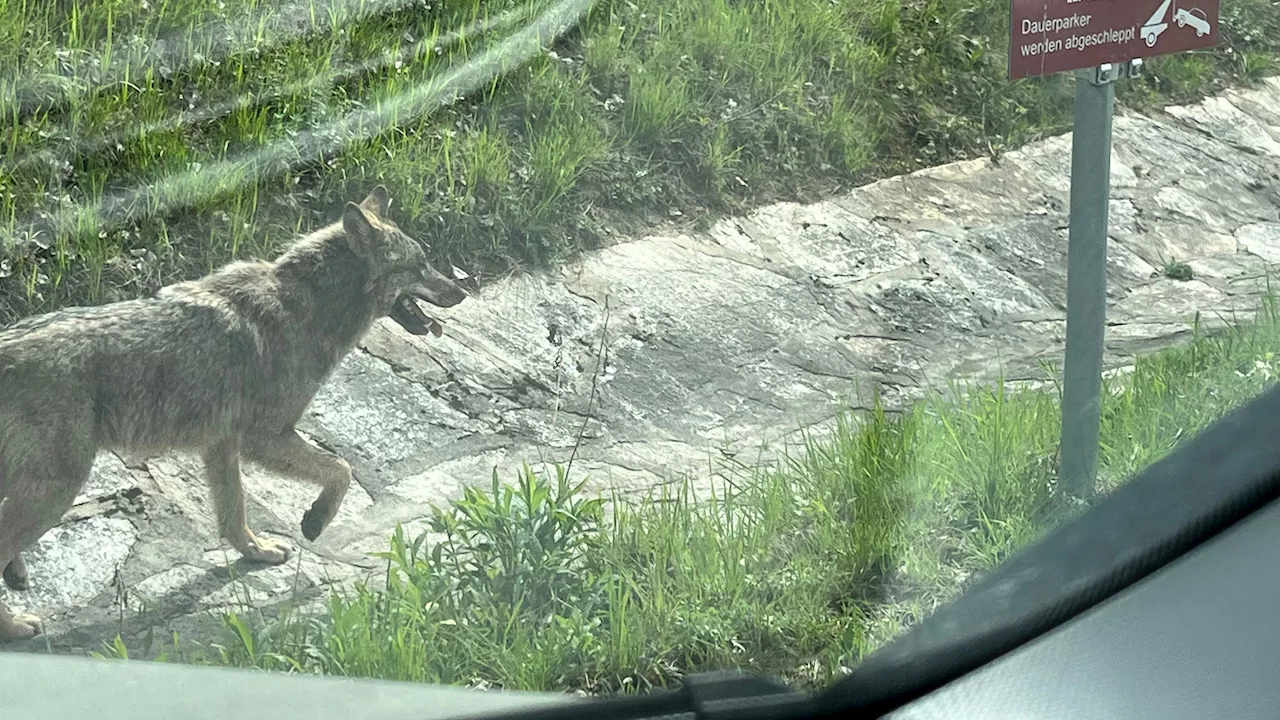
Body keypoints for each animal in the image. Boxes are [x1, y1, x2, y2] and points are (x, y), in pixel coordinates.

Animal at [0, 185, 468, 638]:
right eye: (421, 266)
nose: (463, 290)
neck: (306, 306)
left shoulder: (222, 444)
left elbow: (234, 514)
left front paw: (257, 552)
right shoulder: (265, 437)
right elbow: (342, 469)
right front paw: (315, 522)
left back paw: (16, 575)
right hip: (58, 488)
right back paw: (15, 624)